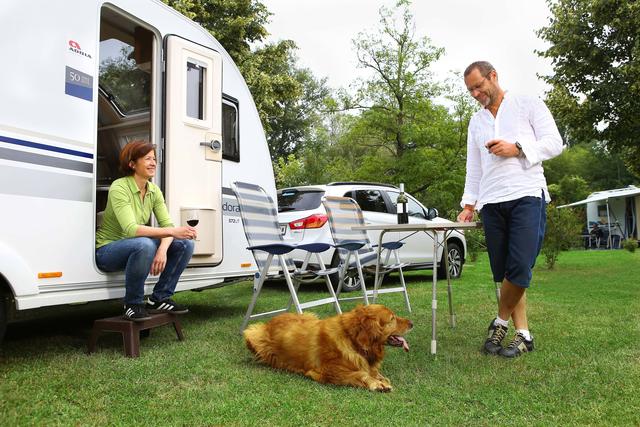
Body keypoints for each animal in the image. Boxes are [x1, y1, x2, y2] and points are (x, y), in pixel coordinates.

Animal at [242, 306, 412, 392]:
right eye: (392, 318)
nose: (412, 323)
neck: (351, 339)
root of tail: (274, 318)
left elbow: (374, 372)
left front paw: (380, 378)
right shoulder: (328, 371)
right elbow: (360, 373)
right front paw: (376, 383)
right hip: (251, 333)